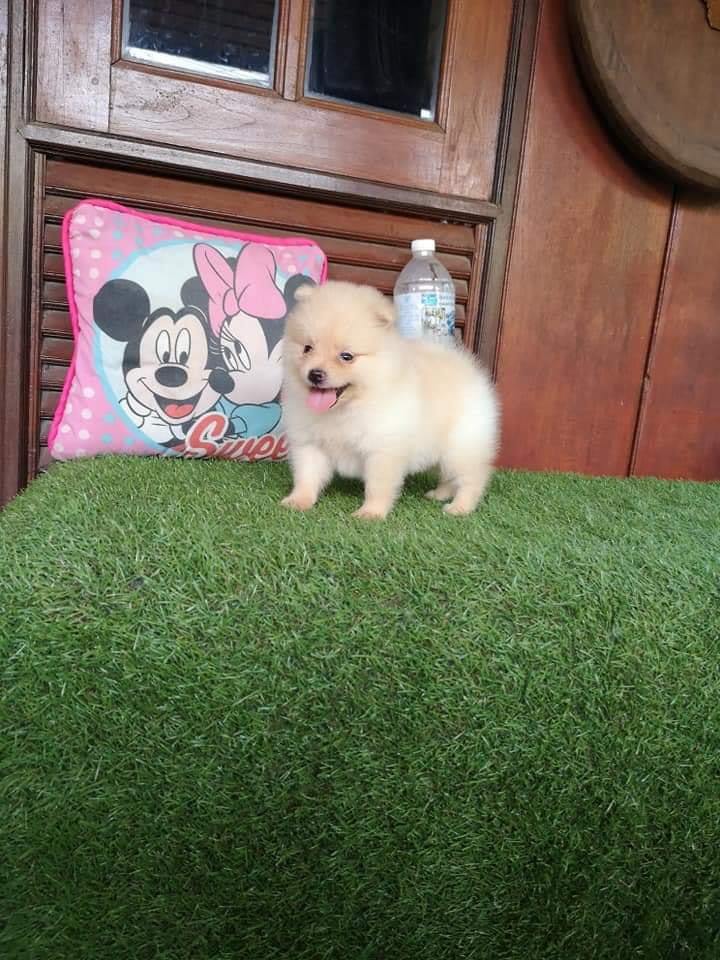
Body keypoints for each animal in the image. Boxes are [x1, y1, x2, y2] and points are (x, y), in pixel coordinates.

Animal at [280, 281, 499, 519]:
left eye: (346, 356)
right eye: (307, 348)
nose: (315, 374)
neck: (348, 407)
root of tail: (465, 365)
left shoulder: (383, 449)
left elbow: (377, 486)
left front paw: (371, 513)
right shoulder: (310, 444)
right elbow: (306, 476)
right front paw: (299, 500)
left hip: (461, 446)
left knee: (471, 478)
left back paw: (460, 506)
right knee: (447, 475)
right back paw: (440, 494)